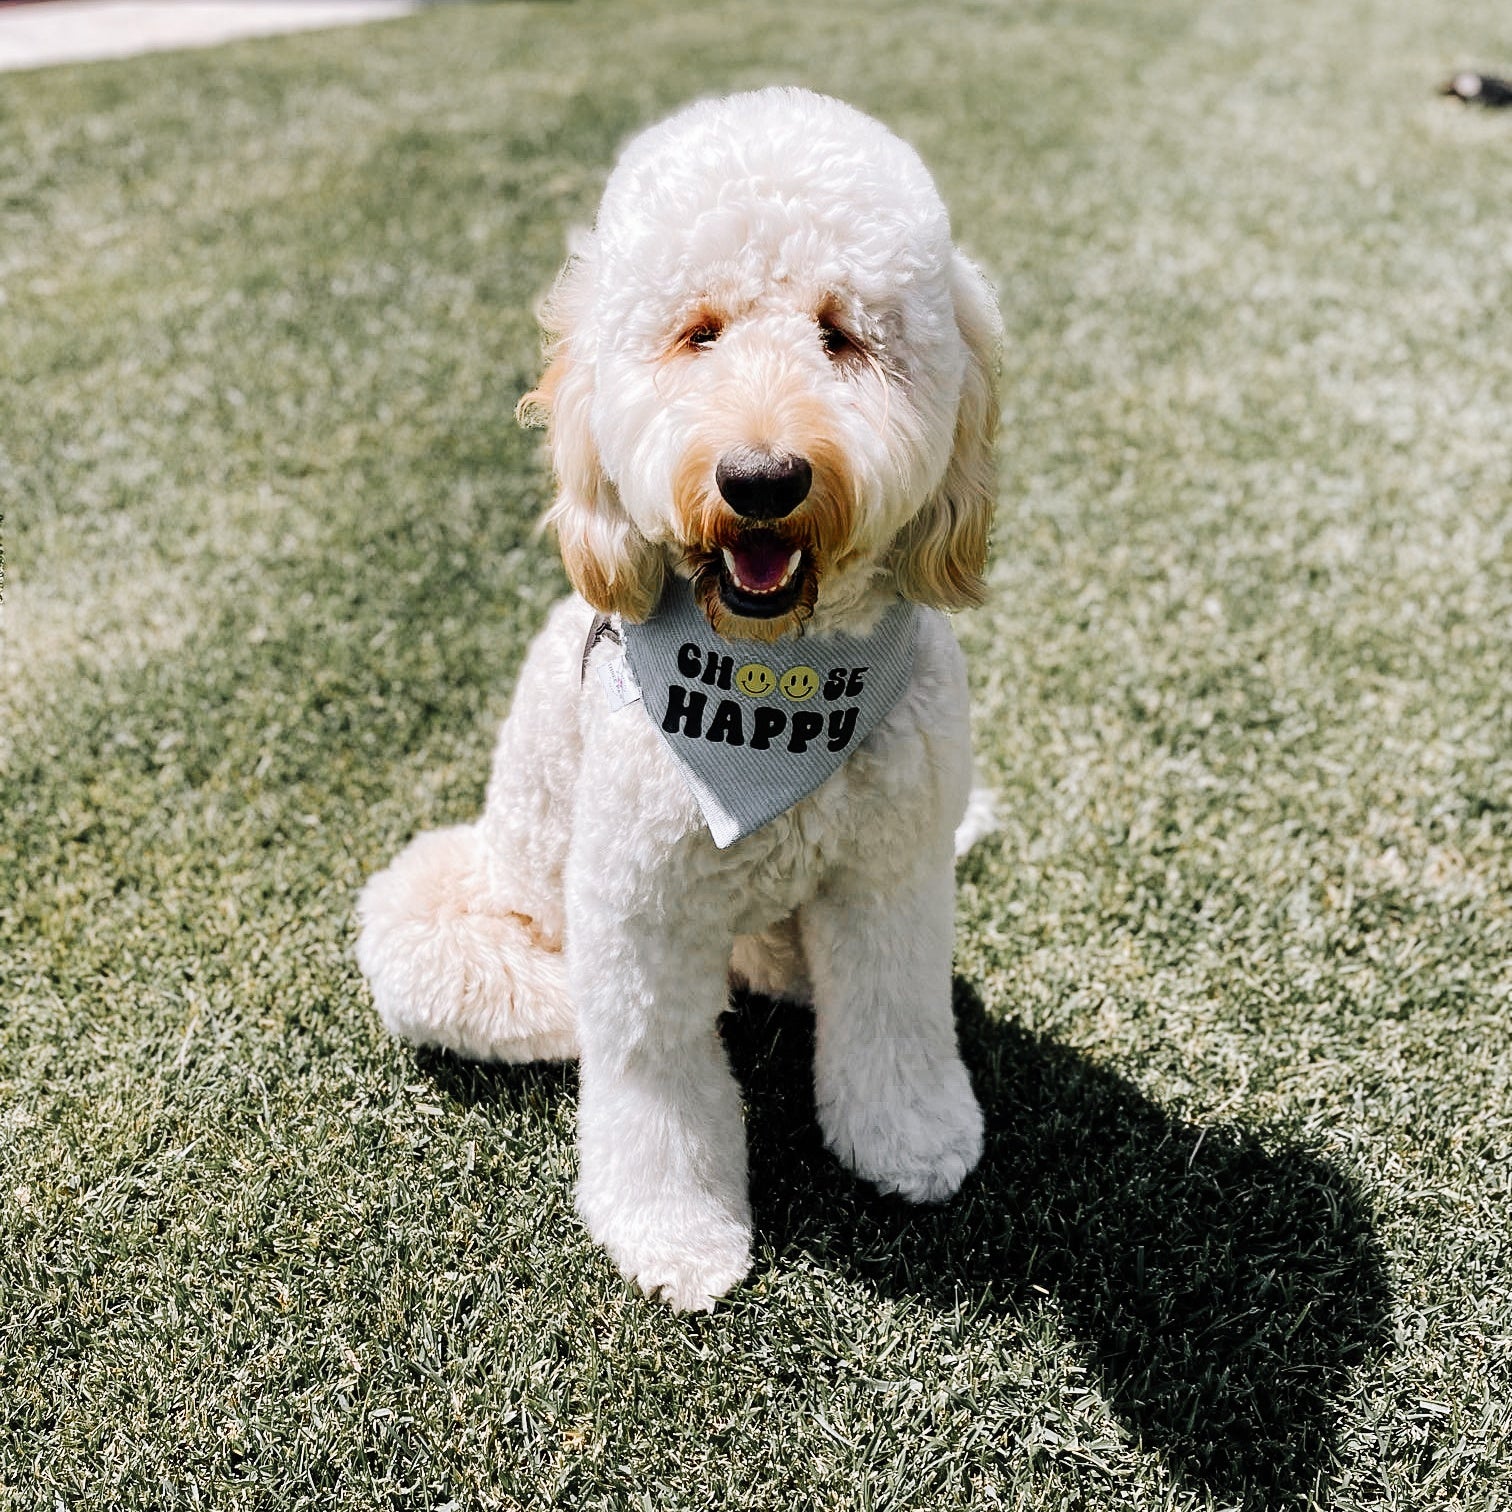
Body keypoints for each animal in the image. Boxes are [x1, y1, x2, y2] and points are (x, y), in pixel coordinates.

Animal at [356, 88, 1003, 1306]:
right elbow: (658, 1082)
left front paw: (912, 1140)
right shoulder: (641, 912)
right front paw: (677, 1237)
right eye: (698, 332)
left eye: (840, 333)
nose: (761, 479)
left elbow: (895, 1014)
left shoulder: (892, 875)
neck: (771, 689)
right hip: (451, 930)